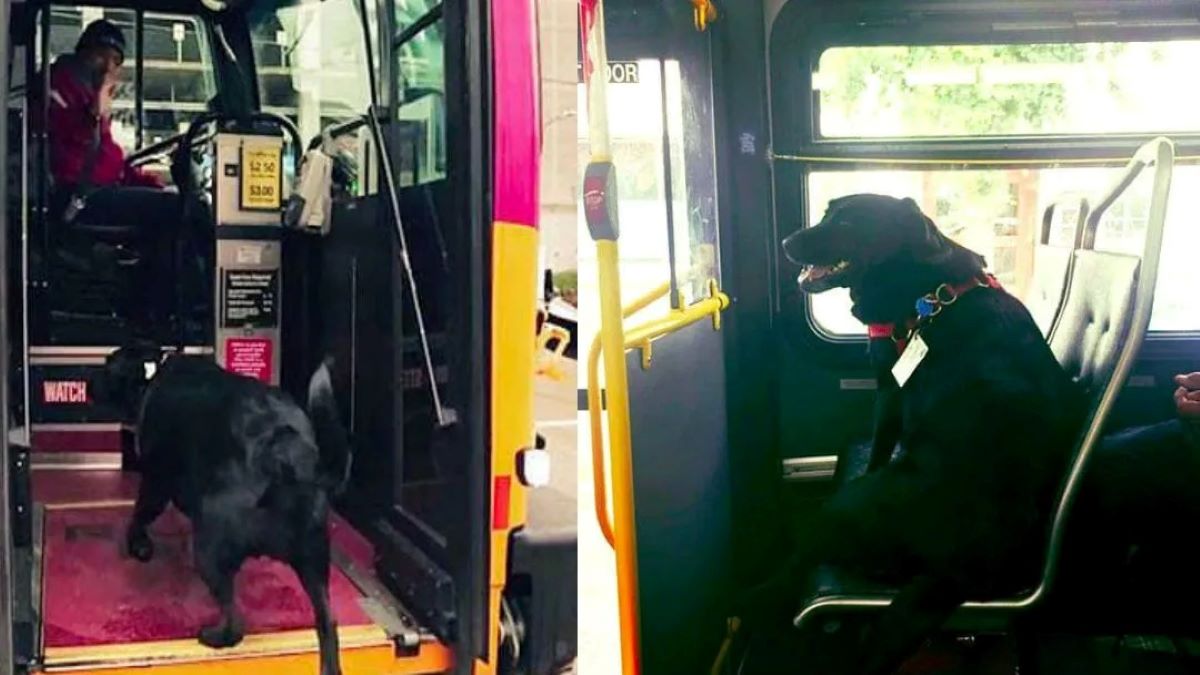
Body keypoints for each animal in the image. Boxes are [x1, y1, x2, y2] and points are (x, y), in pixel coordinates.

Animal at [90, 341, 350, 672]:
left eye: (107, 364)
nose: (88, 382)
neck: (153, 373)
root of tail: (285, 453)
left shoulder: (157, 481)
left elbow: (141, 512)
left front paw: (137, 543)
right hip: (314, 560)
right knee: (328, 623)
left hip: (210, 545)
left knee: (234, 621)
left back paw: (215, 636)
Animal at [734, 194, 1094, 672]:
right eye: (827, 212)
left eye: (847, 222)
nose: (788, 242)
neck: (931, 295)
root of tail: (960, 568)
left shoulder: (888, 391)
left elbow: (880, 448)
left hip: (842, 508)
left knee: (798, 566)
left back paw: (752, 598)